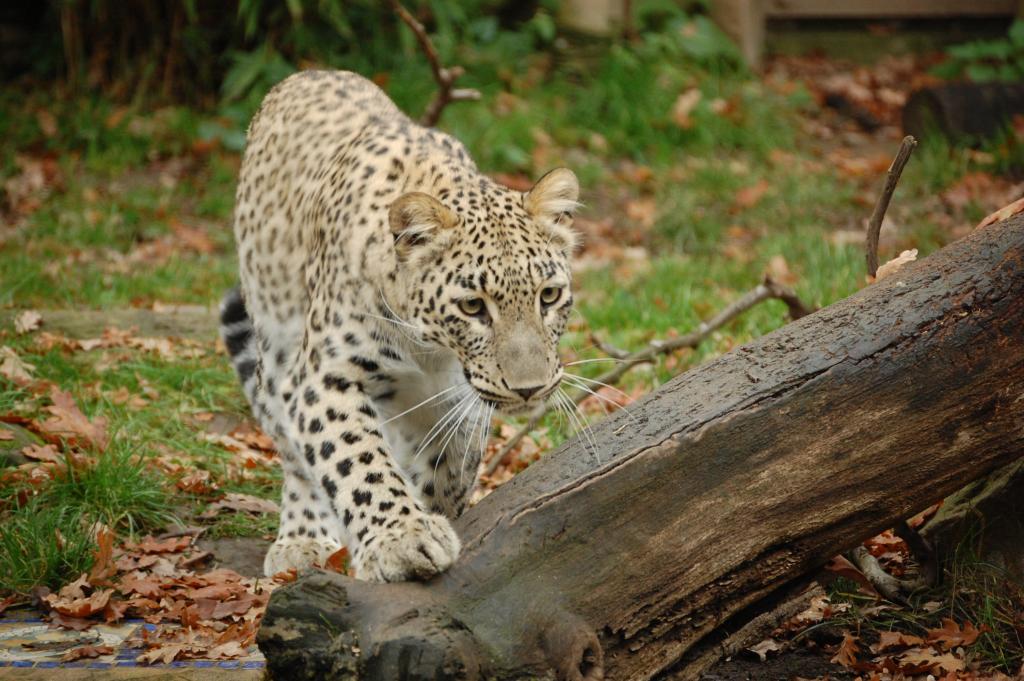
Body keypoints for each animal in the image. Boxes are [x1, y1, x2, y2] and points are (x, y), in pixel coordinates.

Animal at [219, 69, 580, 582]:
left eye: (548, 296)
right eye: (473, 307)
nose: (530, 389)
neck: (429, 350)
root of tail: (310, 72)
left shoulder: (454, 402)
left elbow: (449, 466)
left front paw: (431, 515)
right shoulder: (324, 376)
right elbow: (357, 460)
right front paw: (402, 540)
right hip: (275, 343)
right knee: (292, 448)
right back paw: (302, 537)